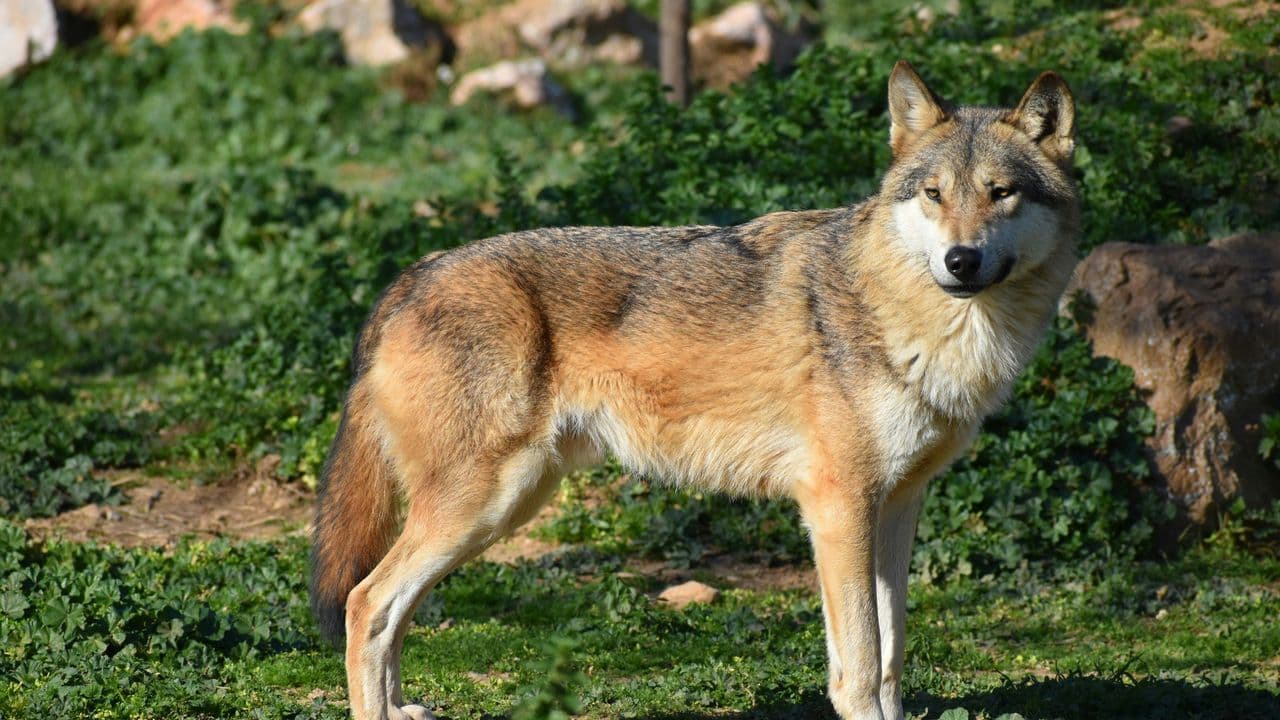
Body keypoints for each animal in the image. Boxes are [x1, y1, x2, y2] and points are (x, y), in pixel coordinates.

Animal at [309, 60, 1079, 720]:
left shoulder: (896, 506)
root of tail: (415, 273)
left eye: (1001, 193)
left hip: (501, 506)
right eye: (933, 194)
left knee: (389, 609)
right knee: (366, 602)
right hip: (485, 503)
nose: (960, 260)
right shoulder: (839, 507)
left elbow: (891, 657)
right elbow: (860, 665)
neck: (909, 318)